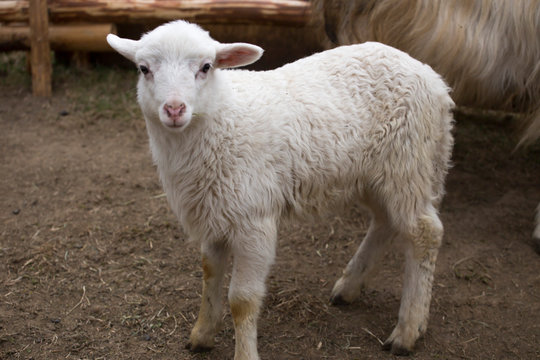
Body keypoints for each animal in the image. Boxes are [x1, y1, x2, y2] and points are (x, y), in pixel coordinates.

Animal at [107, 20, 454, 360]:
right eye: (143, 69)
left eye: (206, 67)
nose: (175, 109)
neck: (224, 118)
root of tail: (434, 80)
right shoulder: (214, 212)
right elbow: (209, 274)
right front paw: (202, 334)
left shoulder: (253, 218)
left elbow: (242, 300)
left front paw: (244, 353)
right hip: (374, 175)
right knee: (386, 222)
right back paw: (349, 288)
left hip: (409, 162)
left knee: (424, 232)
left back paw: (407, 330)